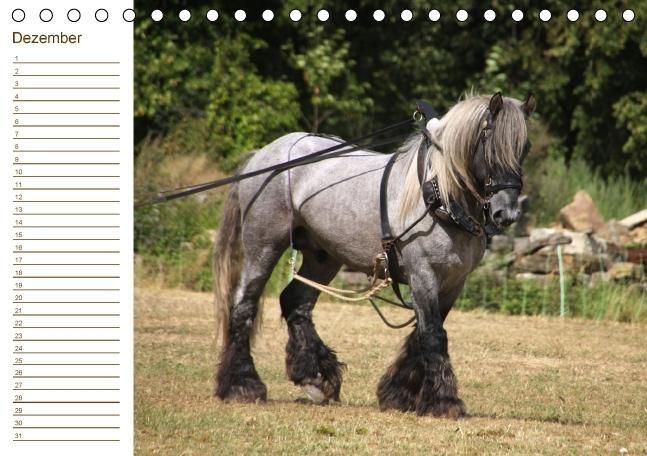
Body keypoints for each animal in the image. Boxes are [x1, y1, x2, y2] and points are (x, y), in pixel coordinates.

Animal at [212, 92, 536, 417]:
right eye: (489, 143)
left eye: (525, 147)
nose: (507, 213)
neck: (438, 196)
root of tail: (263, 155)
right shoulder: (423, 274)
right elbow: (432, 334)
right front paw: (444, 401)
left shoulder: (454, 282)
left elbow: (422, 334)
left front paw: (399, 393)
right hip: (263, 247)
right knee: (244, 306)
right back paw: (242, 384)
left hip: (323, 256)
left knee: (296, 301)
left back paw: (315, 376)